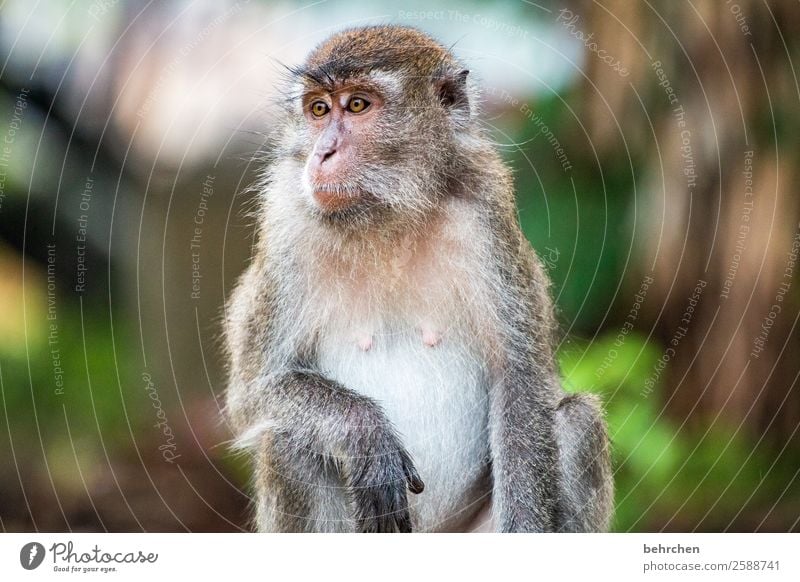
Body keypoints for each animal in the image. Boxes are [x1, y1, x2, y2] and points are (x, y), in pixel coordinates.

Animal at [225, 26, 612, 532]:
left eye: (357, 105)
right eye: (318, 109)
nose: (322, 152)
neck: (388, 214)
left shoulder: (485, 216)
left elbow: (520, 382)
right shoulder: (288, 231)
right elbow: (254, 394)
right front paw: (364, 432)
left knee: (577, 421)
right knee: (287, 440)